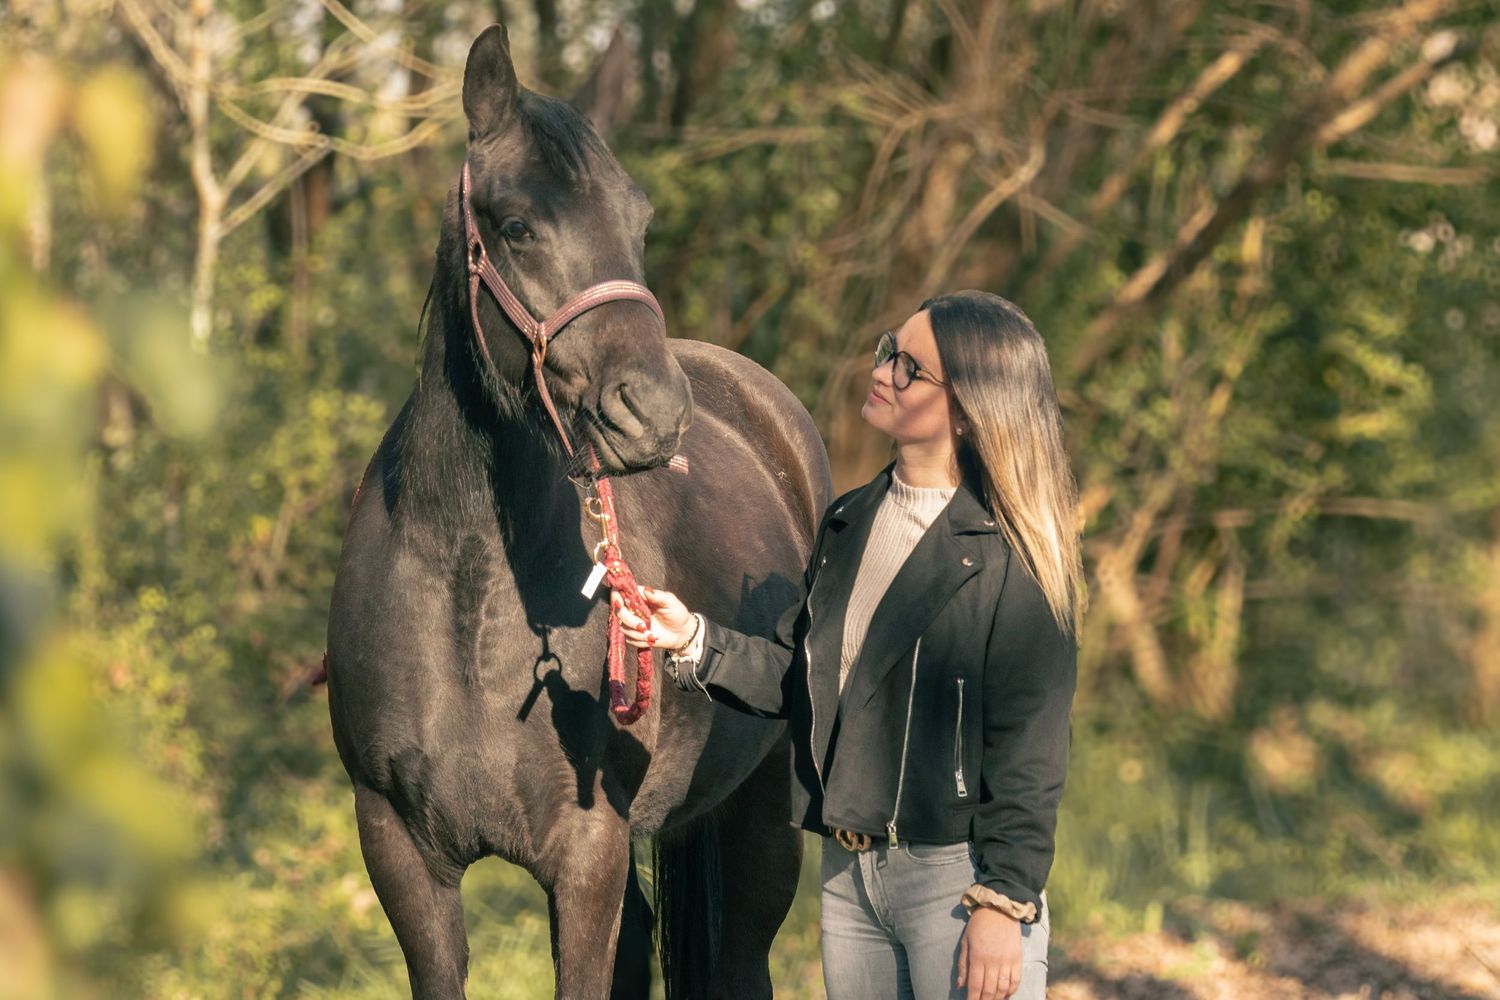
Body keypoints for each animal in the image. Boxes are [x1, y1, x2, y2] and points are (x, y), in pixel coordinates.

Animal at [325, 23, 831, 1000]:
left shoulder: (587, 854)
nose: (654, 414)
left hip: (761, 820)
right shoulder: (400, 855)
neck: (466, 603)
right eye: (518, 225)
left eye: (638, 221)